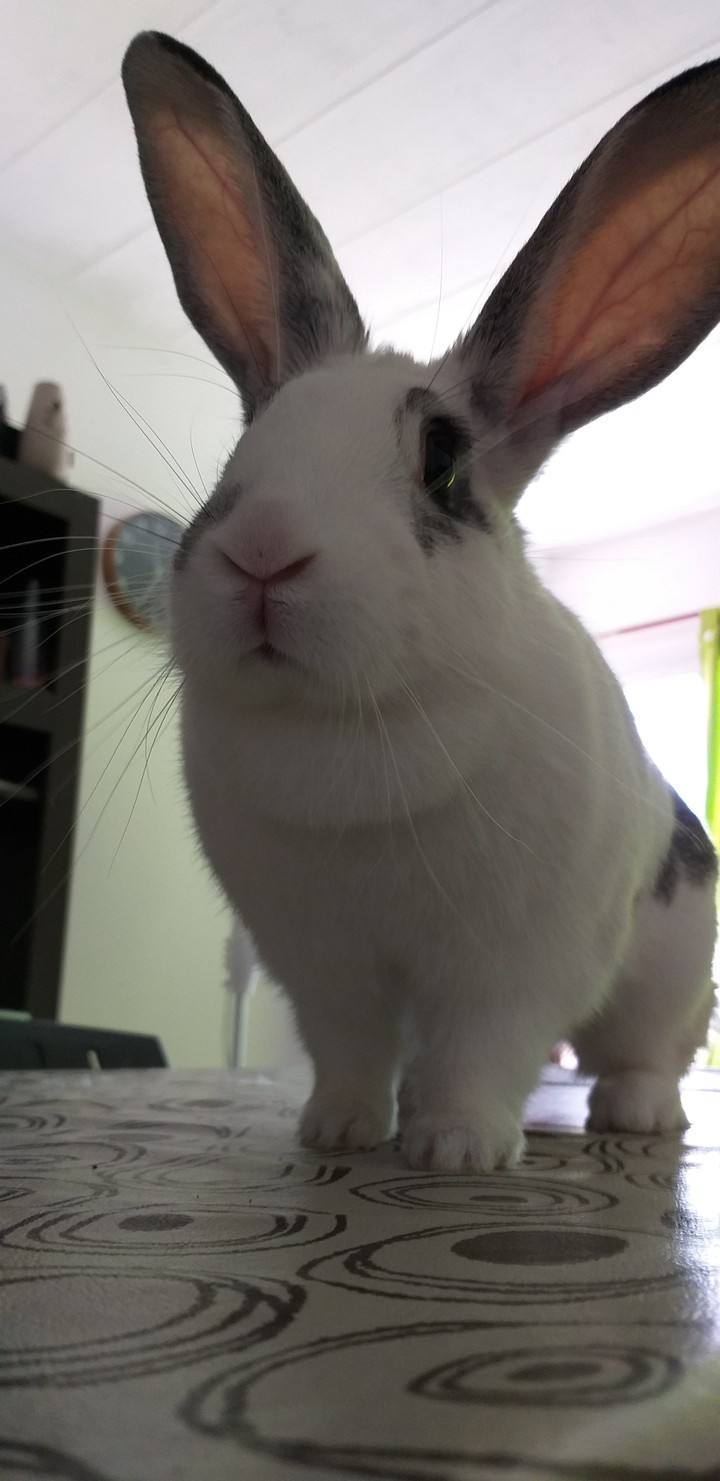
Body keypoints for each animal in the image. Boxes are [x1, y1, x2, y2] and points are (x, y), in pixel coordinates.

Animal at [122, 33, 719, 1173]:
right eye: (246, 448)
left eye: (441, 462)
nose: (264, 555)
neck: (352, 733)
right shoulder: (322, 964)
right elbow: (349, 1046)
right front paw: (339, 1129)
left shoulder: (514, 965)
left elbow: (483, 1050)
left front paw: (456, 1146)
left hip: (671, 967)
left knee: (643, 1048)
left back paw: (634, 1113)